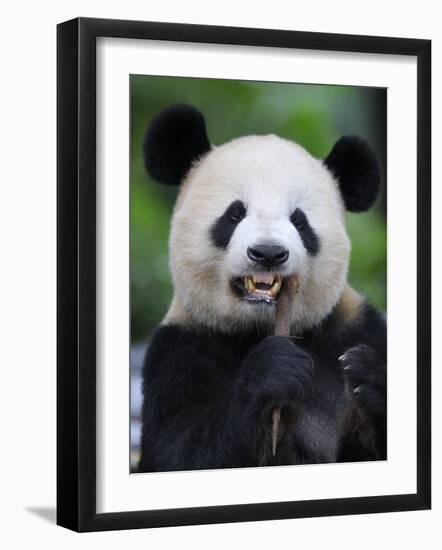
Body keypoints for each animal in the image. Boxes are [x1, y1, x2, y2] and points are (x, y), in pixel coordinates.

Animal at [139, 104, 386, 474]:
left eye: (299, 221)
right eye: (234, 214)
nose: (268, 253)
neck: (259, 328)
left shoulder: (357, 327)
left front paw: (366, 375)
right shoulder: (180, 349)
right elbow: (181, 450)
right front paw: (274, 369)